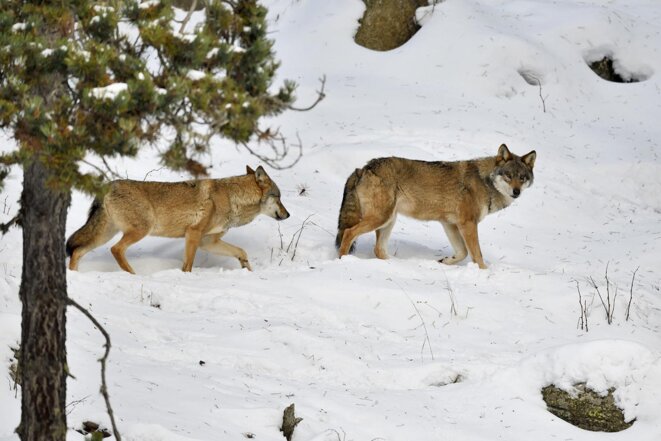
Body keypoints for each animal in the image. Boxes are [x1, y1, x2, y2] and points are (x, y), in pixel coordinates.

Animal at [66, 165, 288, 272]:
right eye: (279, 197)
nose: (288, 215)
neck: (232, 198)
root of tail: (108, 185)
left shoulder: (208, 241)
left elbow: (241, 251)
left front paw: (246, 268)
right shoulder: (193, 234)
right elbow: (187, 266)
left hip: (104, 234)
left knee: (77, 251)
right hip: (140, 230)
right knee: (115, 250)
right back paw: (133, 274)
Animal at [336, 144, 536, 268]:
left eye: (522, 178)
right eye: (508, 176)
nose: (516, 192)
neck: (485, 181)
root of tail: (364, 168)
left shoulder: (450, 224)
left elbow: (462, 252)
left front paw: (445, 261)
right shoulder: (468, 224)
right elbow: (477, 254)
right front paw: (484, 272)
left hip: (388, 221)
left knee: (378, 249)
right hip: (381, 218)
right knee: (349, 233)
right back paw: (342, 260)